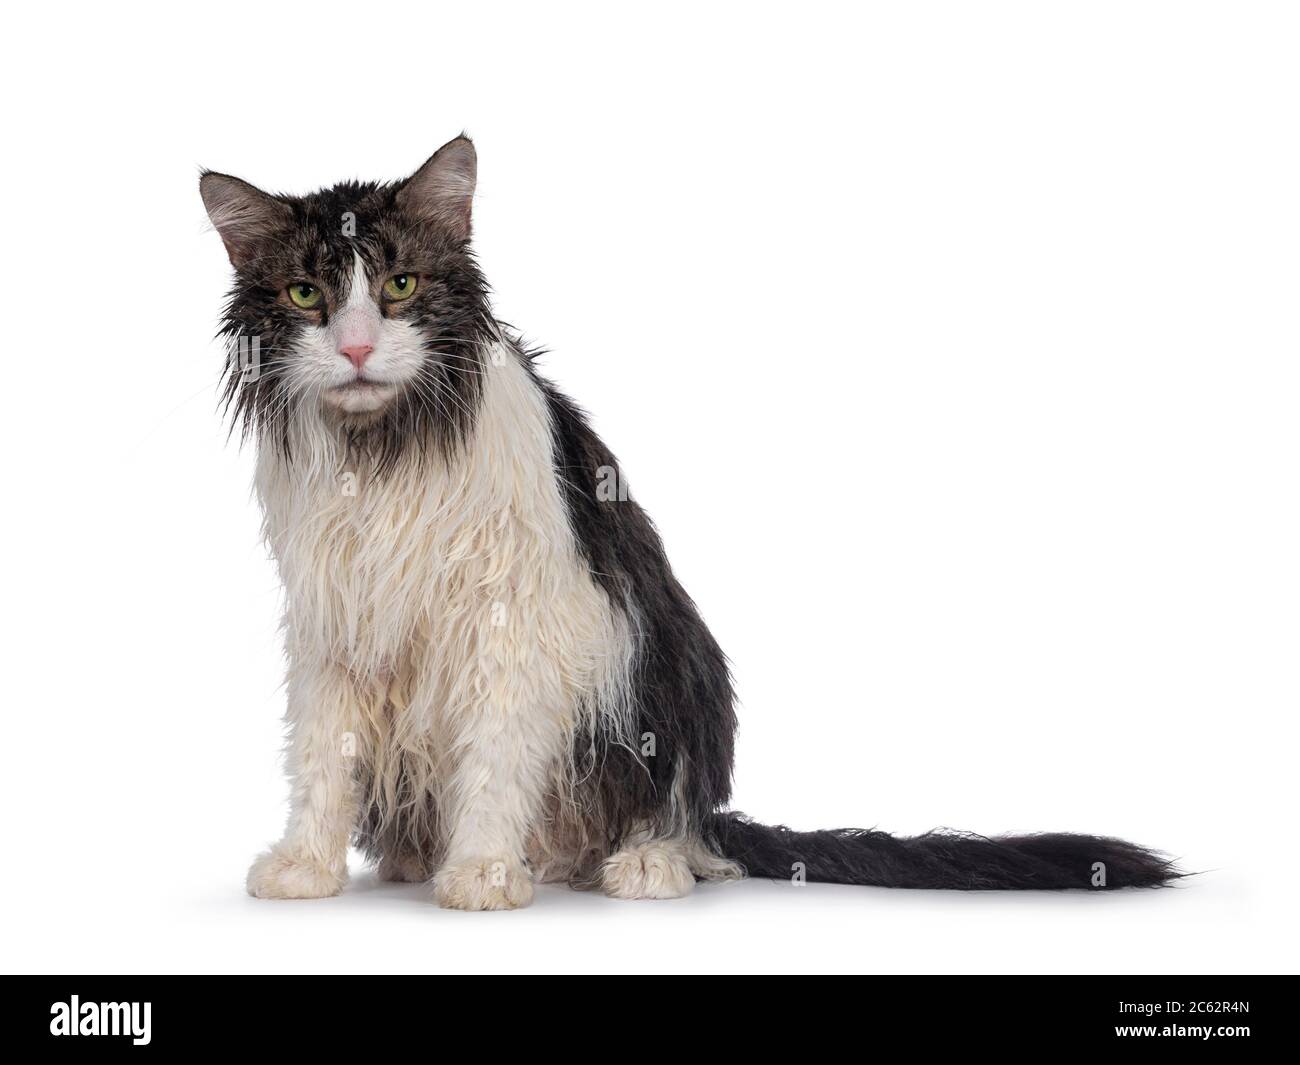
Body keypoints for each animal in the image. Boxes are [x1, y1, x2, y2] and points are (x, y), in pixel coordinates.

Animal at [200, 137, 1180, 910]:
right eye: (305, 296)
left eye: (400, 285)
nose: (358, 346)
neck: (387, 444)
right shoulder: (331, 621)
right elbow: (322, 751)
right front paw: (307, 863)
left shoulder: (517, 618)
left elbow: (496, 749)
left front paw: (481, 869)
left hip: (678, 657)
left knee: (677, 814)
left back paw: (646, 861)